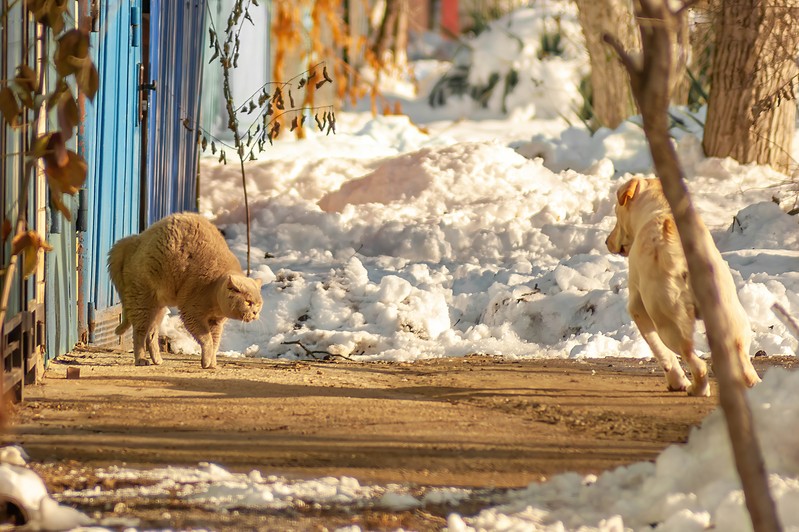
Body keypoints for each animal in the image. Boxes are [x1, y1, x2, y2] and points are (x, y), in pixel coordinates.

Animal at [108, 210, 262, 368]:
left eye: (258, 304)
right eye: (248, 302)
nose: (255, 313)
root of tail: (133, 240)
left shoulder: (216, 323)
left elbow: (215, 342)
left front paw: (211, 363)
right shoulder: (191, 312)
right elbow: (207, 340)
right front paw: (207, 361)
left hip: (158, 307)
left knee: (151, 333)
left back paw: (157, 359)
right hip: (142, 300)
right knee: (139, 332)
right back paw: (141, 360)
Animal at [608, 177, 760, 396]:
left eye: (616, 213)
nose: (607, 241)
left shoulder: (638, 310)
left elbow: (661, 351)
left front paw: (676, 381)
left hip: (671, 324)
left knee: (695, 361)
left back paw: (696, 388)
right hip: (731, 316)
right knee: (742, 359)